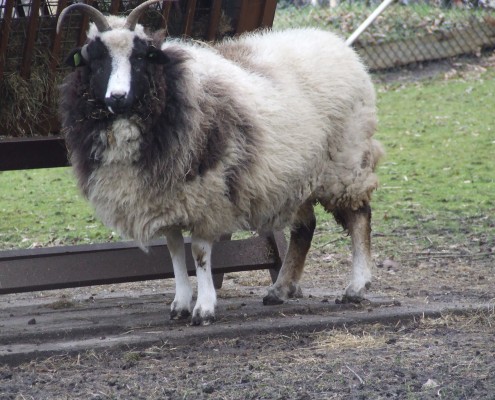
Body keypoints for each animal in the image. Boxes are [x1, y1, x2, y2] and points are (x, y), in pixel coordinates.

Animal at [57, 0, 384, 324]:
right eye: (96, 59)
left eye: (139, 57)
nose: (117, 96)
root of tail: (338, 44)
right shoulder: (164, 198)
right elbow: (175, 251)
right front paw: (180, 304)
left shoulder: (206, 194)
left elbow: (200, 254)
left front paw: (204, 308)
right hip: (295, 176)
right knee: (305, 228)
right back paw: (280, 289)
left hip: (345, 162)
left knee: (360, 216)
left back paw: (356, 287)